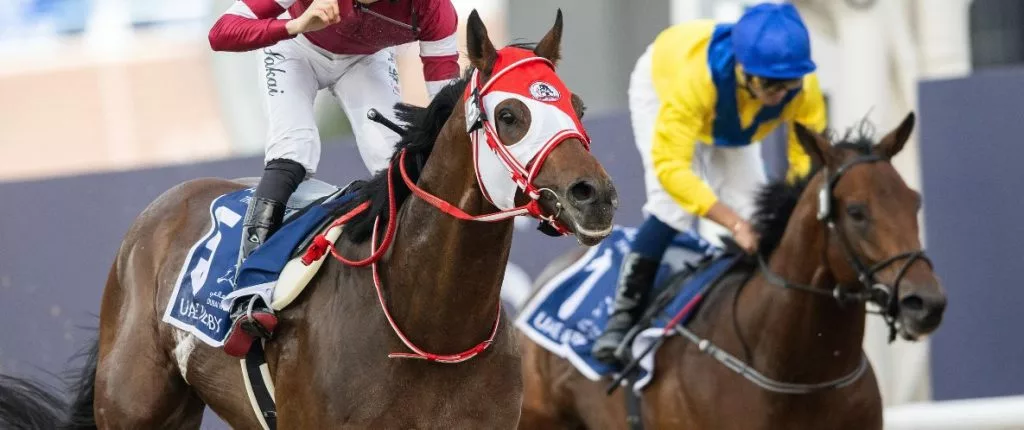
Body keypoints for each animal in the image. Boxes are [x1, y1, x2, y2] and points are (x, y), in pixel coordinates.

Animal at [0, 10, 618, 429]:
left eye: (578, 106)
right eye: (510, 114)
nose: (596, 195)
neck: (427, 325)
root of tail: (166, 205)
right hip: (135, 404)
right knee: (291, 150)